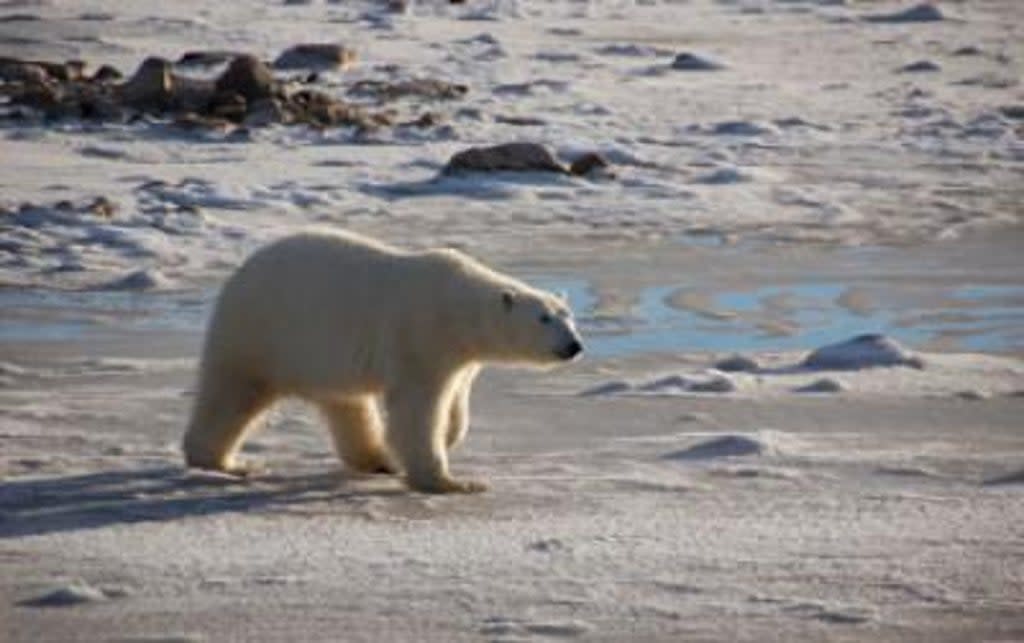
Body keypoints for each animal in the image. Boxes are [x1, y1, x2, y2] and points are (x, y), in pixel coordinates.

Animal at [182, 229, 585, 491]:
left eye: (569, 316)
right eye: (544, 318)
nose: (574, 345)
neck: (456, 306)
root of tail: (237, 275)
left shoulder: (460, 359)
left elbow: (455, 405)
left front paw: (441, 439)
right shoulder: (421, 337)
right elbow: (417, 409)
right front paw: (451, 482)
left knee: (347, 406)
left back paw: (377, 459)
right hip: (260, 332)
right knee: (232, 393)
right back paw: (226, 463)